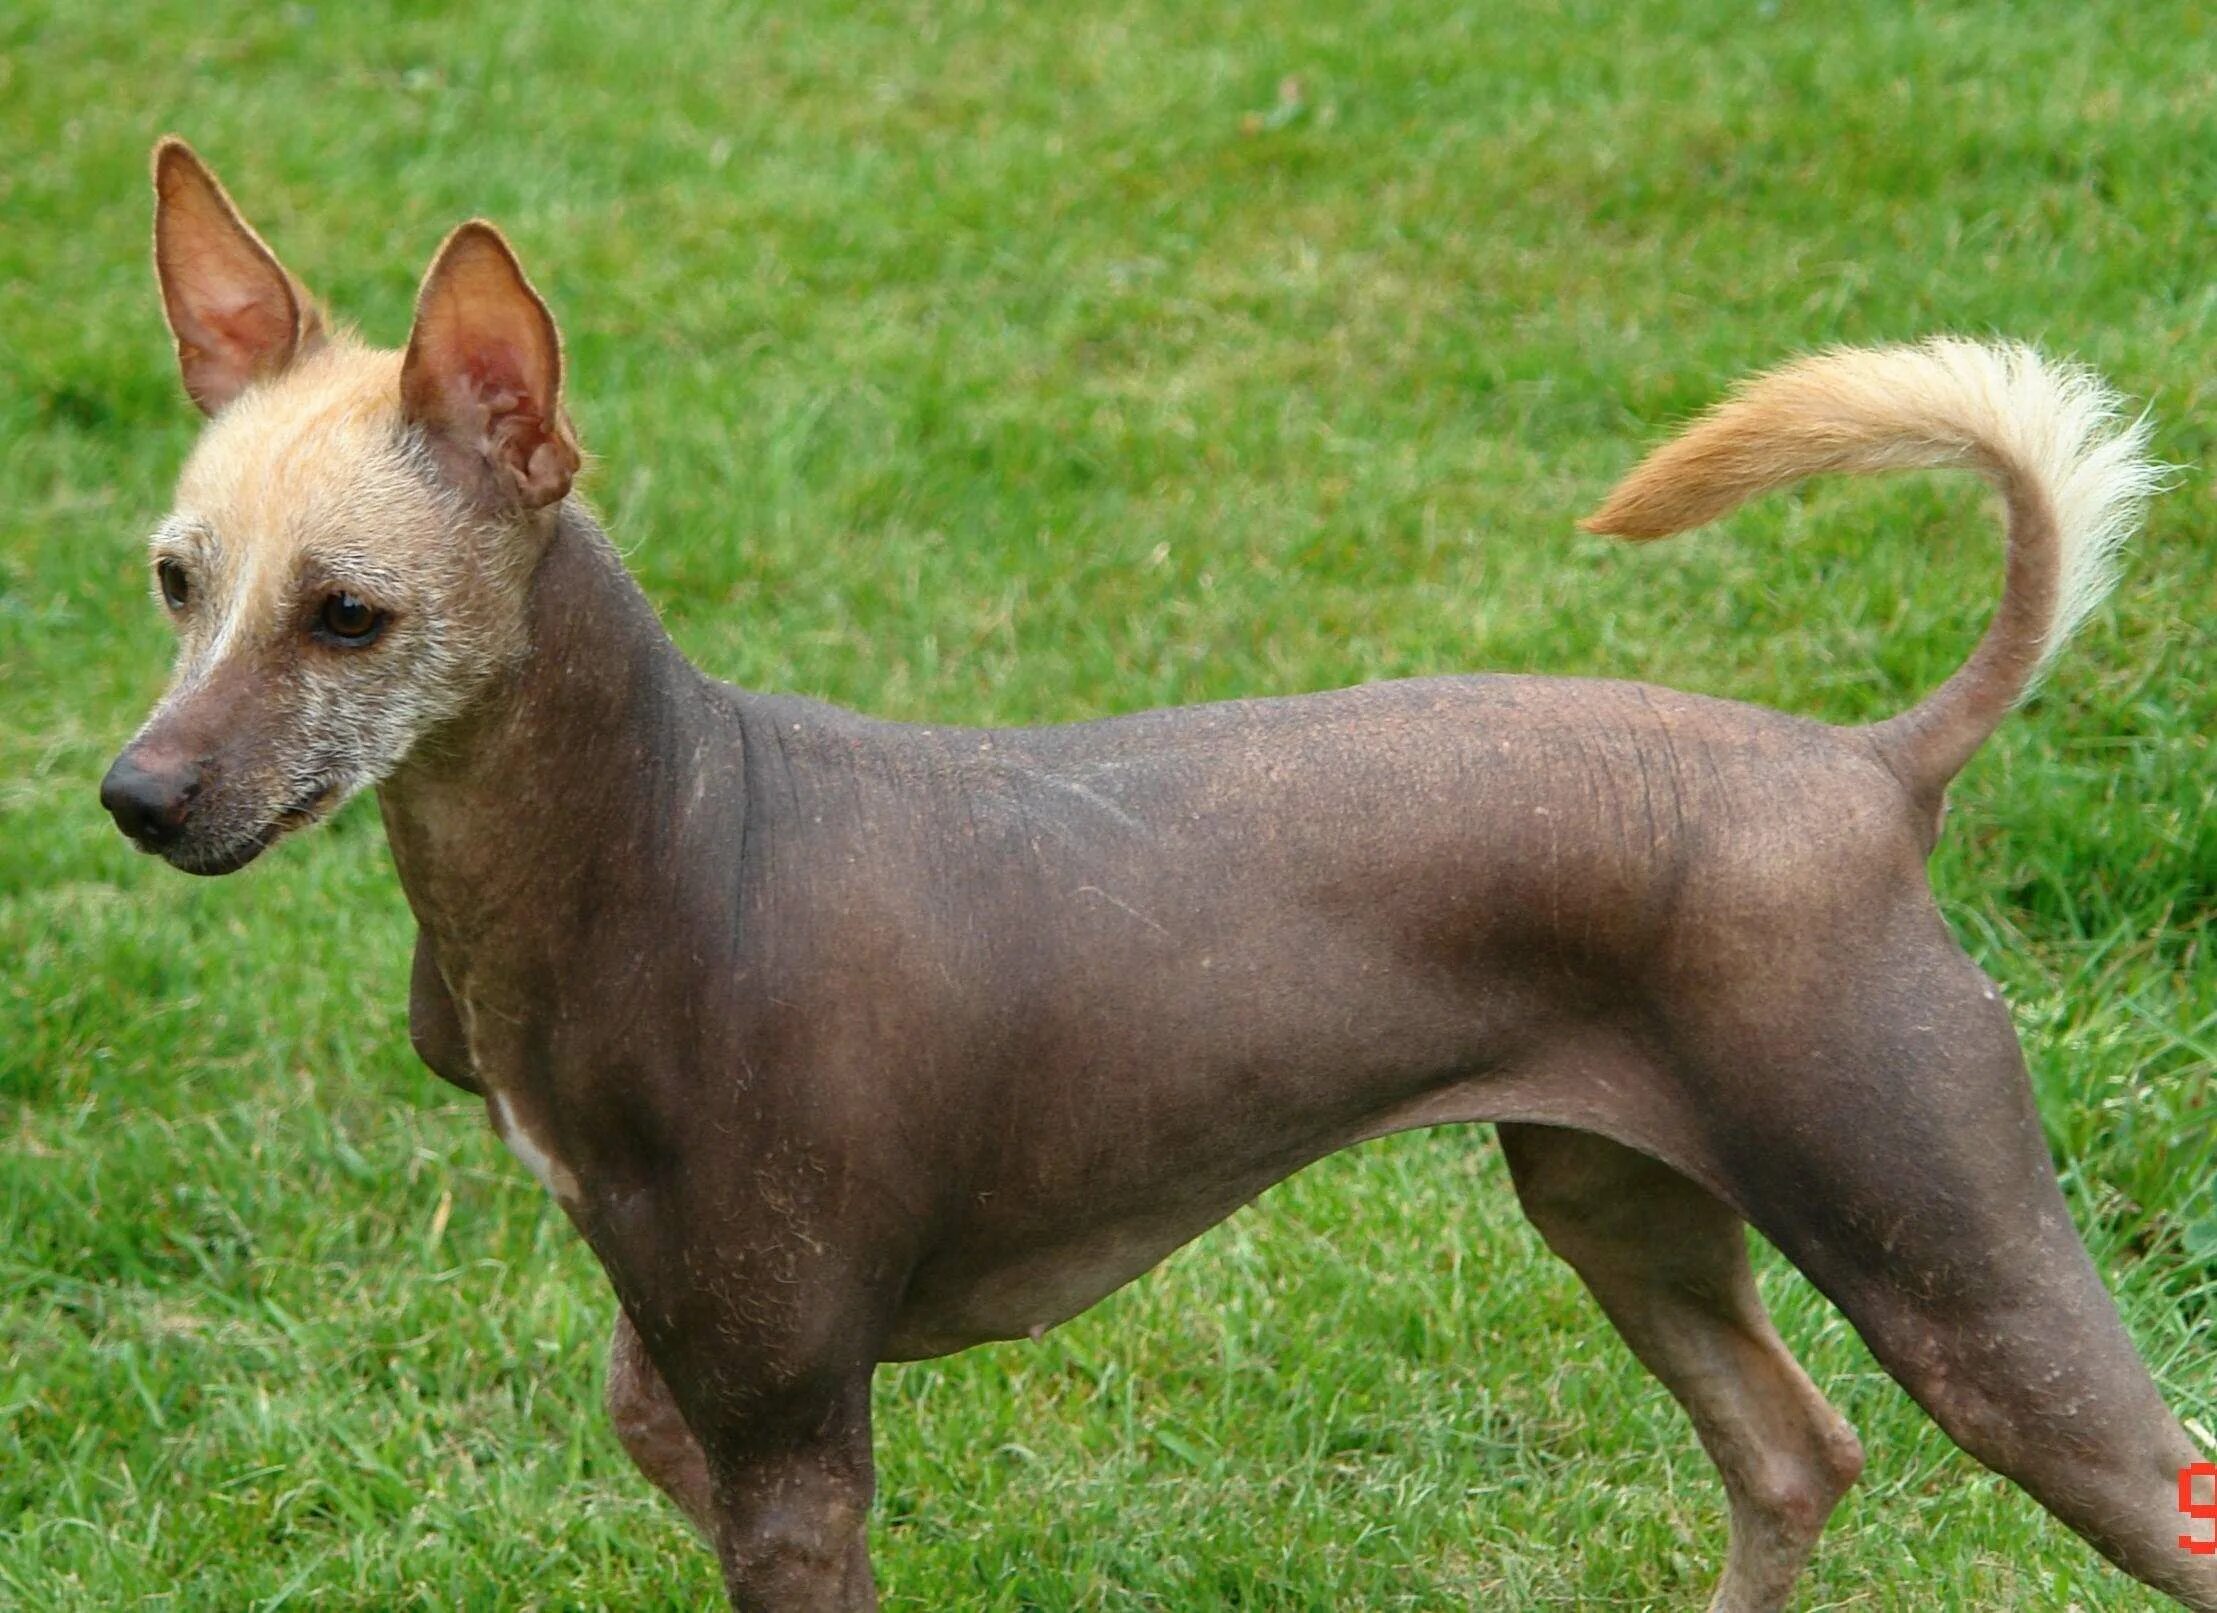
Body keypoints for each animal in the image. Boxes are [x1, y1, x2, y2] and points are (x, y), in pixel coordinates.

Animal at [95, 141, 2208, 1613]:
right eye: (176, 581)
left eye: (348, 616)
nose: (136, 793)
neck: (676, 837)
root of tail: (1870, 768)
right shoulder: (690, 1394)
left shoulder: (794, 1445)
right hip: (1622, 1202)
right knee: (1793, 1455)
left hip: (1952, 1263)